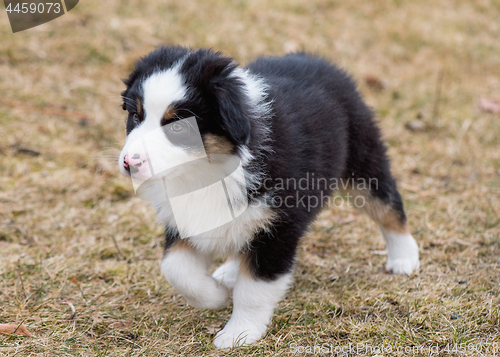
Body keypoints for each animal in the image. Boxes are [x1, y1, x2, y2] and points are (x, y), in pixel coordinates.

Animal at [119, 45, 420, 348]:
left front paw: (238, 333)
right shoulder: (184, 219)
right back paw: (229, 273)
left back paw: (404, 258)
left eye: (178, 127)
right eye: (136, 116)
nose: (129, 163)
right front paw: (216, 296)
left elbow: (254, 289)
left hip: (362, 161)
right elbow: (176, 269)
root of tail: (313, 58)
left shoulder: (278, 226)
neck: (207, 171)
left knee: (389, 207)